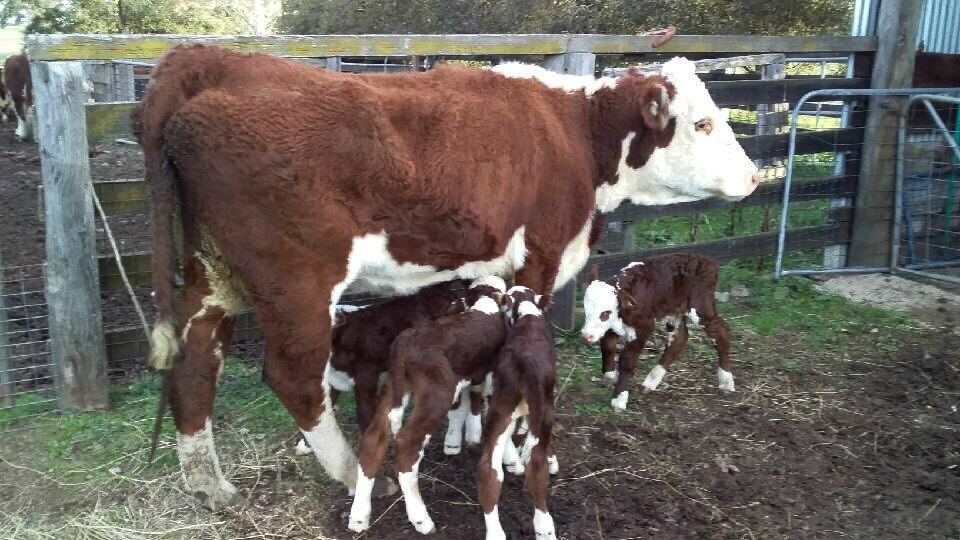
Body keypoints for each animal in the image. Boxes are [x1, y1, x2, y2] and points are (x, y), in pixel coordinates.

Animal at [346, 278, 510, 536]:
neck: (484, 305)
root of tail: (403, 344)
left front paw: (468, 437)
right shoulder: (492, 378)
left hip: (393, 387)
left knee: (374, 438)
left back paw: (359, 516)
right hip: (435, 394)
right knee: (406, 445)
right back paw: (421, 519)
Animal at [476, 284, 560, 536]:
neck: (527, 312)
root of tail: (524, 360)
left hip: (500, 409)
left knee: (488, 471)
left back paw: (496, 534)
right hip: (543, 410)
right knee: (536, 466)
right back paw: (545, 527)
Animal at [576, 253, 736, 410]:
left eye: (605, 313)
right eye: (586, 310)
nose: (586, 335)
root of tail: (706, 260)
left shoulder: (644, 326)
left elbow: (627, 360)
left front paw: (619, 399)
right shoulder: (611, 327)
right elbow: (607, 347)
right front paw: (611, 375)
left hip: (701, 307)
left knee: (721, 333)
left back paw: (726, 382)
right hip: (675, 311)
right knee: (680, 338)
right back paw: (651, 380)